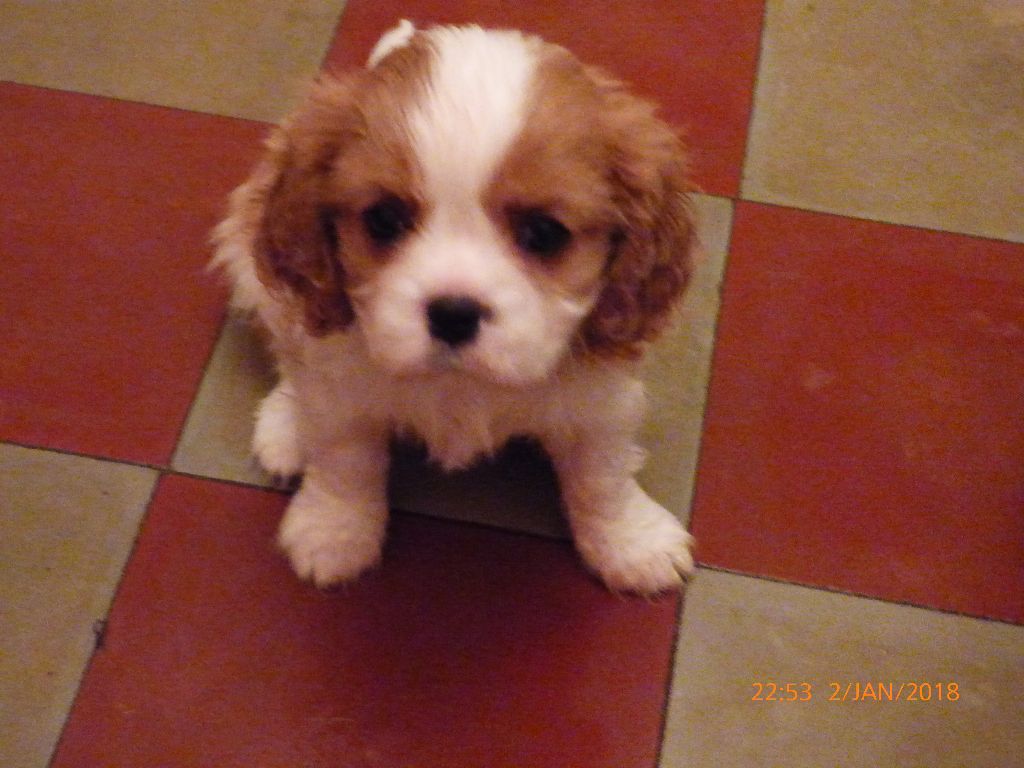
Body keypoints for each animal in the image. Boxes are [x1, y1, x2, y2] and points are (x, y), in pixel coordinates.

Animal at [211, 20, 696, 594]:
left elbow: (603, 474)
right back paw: (286, 424)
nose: (453, 313)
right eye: (384, 219)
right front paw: (333, 530)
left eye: (543, 233)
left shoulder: (600, 402)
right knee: (290, 353)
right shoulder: (341, 392)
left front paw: (630, 541)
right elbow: (345, 460)